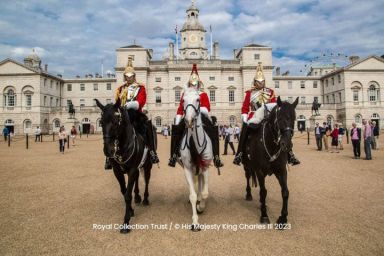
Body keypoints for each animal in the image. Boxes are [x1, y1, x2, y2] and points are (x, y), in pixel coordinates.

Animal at [95, 99, 154, 234]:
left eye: (116, 121)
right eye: (101, 122)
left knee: (147, 181)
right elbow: (124, 191)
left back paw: (145, 199)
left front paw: (126, 222)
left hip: (147, 165)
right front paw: (131, 210)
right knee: (137, 180)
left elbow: (127, 195)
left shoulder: (132, 170)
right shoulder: (117, 171)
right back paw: (137, 197)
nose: (108, 151)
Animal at [243, 96, 296, 226]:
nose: (287, 145)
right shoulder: (260, 171)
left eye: (294, 118)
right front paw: (264, 215)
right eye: (280, 118)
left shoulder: (281, 170)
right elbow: (263, 192)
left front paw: (283, 218)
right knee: (248, 177)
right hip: (247, 165)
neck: (272, 145)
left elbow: (285, 192)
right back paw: (249, 194)